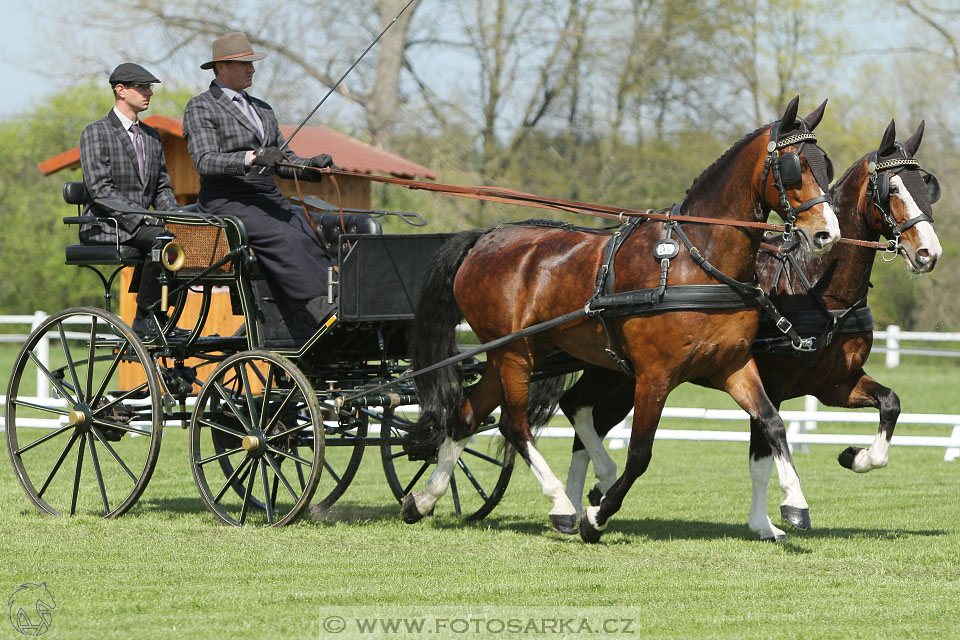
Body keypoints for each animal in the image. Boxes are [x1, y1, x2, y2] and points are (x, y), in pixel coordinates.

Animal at [402, 97, 836, 544]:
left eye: (827, 166)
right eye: (793, 166)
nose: (827, 234)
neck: (696, 261)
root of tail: (486, 238)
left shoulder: (732, 365)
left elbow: (772, 422)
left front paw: (795, 503)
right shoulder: (655, 376)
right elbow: (640, 453)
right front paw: (596, 516)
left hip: (513, 352)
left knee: (467, 415)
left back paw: (424, 498)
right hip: (513, 354)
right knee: (513, 424)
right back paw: (562, 505)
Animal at [560, 120, 940, 540]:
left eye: (926, 186)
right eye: (893, 188)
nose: (929, 253)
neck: (813, 285)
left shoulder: (835, 384)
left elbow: (891, 403)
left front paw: (856, 457)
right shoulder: (770, 383)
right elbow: (762, 455)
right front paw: (780, 514)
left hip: (621, 376)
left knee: (579, 411)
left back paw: (576, 504)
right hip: (622, 374)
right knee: (578, 412)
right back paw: (575, 505)